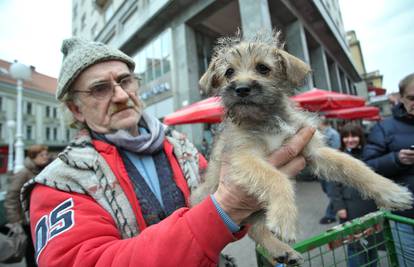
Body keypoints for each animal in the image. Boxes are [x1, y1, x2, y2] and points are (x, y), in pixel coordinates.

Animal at [191, 31, 414, 266]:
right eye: (229, 72)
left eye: (263, 68)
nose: (241, 89)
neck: (268, 119)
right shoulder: (243, 157)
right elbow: (276, 178)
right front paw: (285, 217)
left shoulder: (313, 150)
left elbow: (353, 165)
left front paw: (391, 191)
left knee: (255, 228)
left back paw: (281, 250)